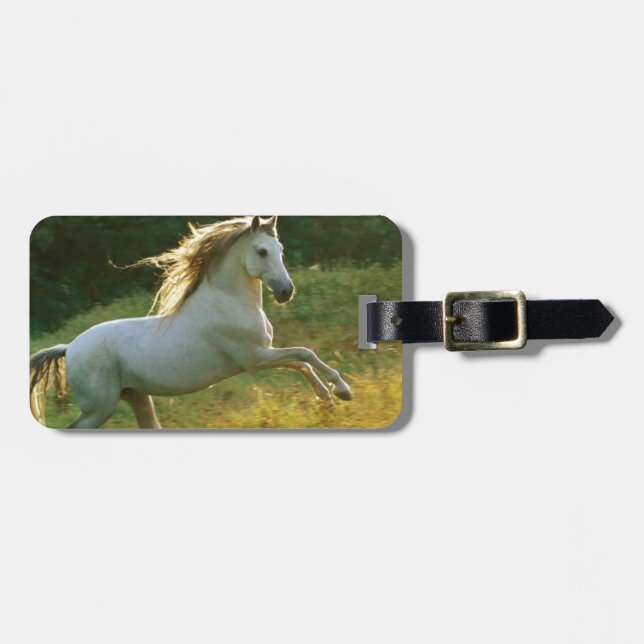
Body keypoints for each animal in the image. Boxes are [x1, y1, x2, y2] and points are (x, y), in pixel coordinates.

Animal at [30, 216, 352, 429]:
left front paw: (327, 400)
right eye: (262, 251)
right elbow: (304, 354)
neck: (228, 301)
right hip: (99, 408)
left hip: (136, 397)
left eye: (280, 250)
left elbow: (301, 362)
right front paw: (342, 390)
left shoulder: (262, 355)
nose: (286, 292)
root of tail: (70, 347)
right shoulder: (255, 358)